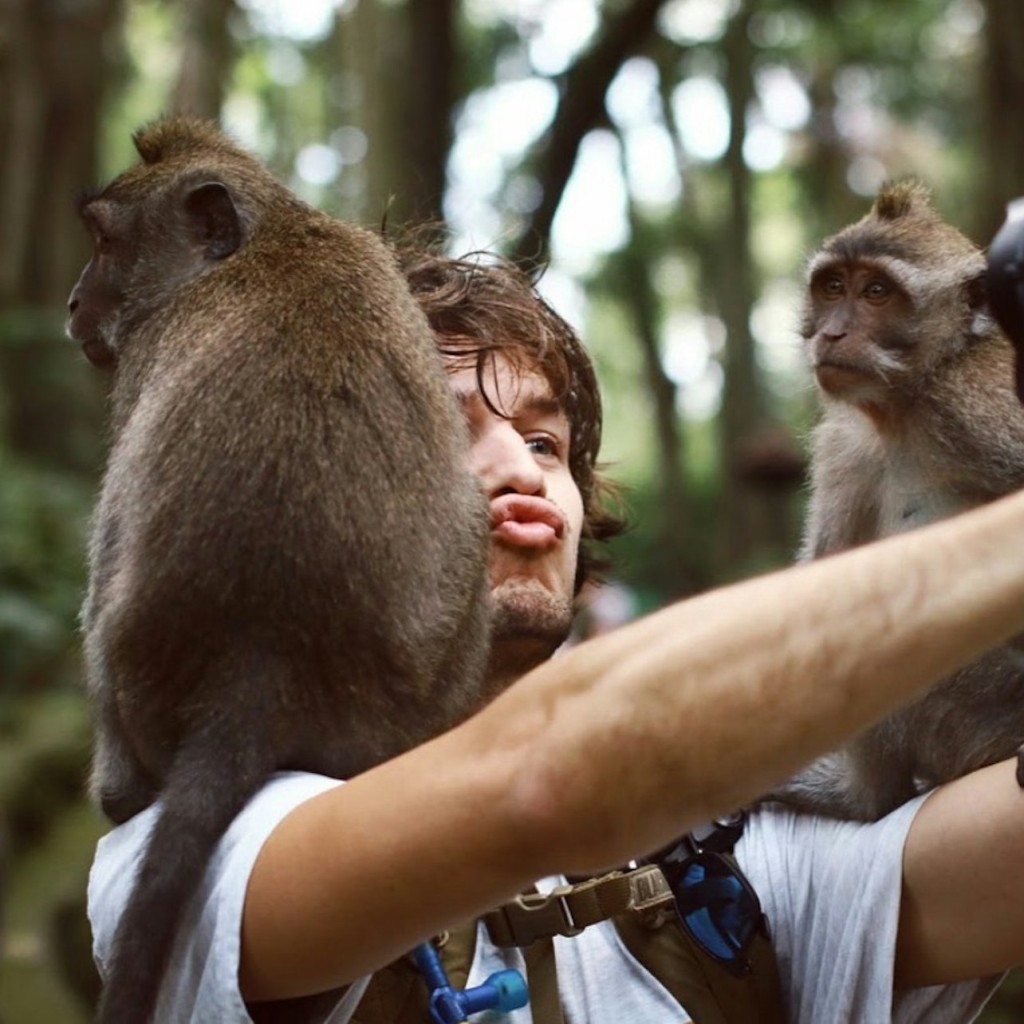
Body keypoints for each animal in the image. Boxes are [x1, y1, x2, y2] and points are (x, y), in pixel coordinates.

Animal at [65, 117, 490, 1023]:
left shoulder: (144, 357)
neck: (270, 238)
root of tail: (263, 656)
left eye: (106, 245)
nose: (74, 303)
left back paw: (120, 795)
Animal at [770, 179, 1024, 821]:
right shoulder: (844, 442)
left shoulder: (973, 405)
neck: (907, 402)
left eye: (878, 292)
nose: (832, 333)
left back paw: (867, 795)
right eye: (834, 287)